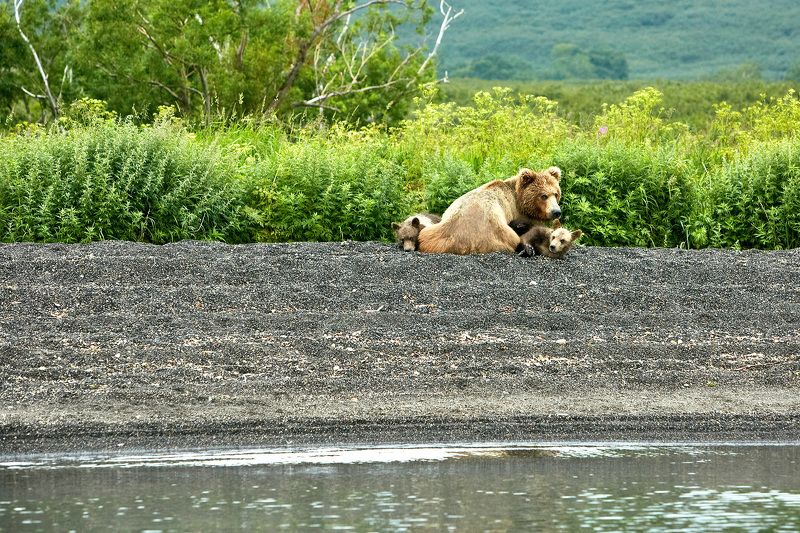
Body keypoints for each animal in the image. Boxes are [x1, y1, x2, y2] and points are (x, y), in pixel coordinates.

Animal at [417, 167, 562, 255]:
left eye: (555, 193)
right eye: (543, 196)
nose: (556, 212)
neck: (519, 201)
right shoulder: (519, 214)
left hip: (439, 225)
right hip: (494, 229)